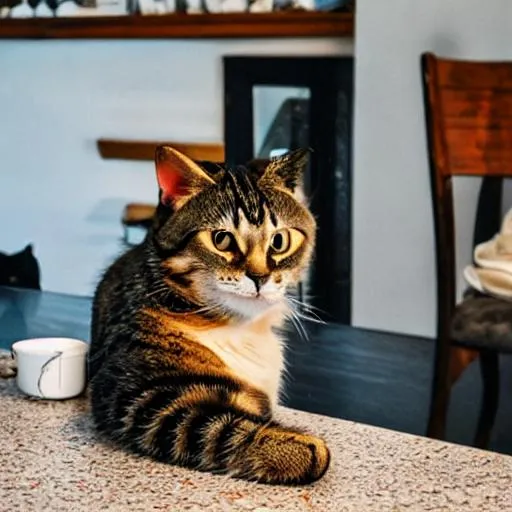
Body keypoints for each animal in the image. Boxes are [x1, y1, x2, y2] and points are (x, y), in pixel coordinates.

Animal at [89, 147, 330, 484]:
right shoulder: (135, 395)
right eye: (221, 239)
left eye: (280, 241)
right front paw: (302, 448)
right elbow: (218, 428)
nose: (260, 277)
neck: (238, 326)